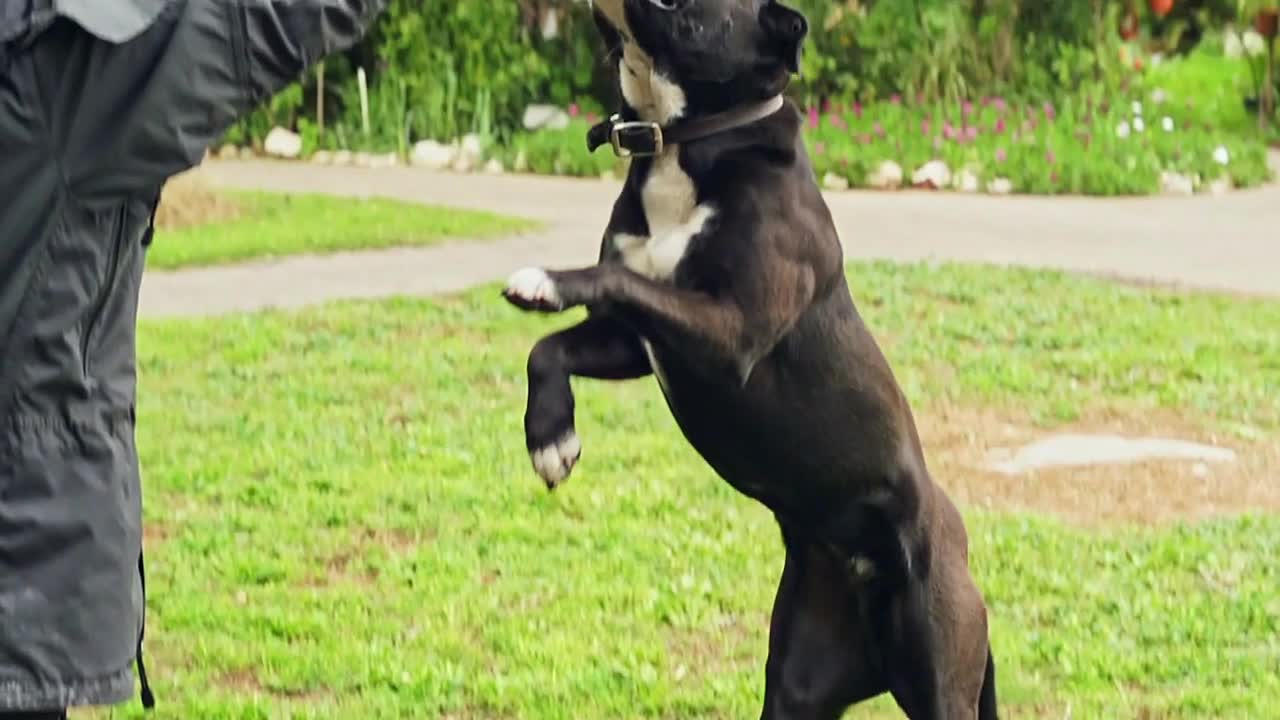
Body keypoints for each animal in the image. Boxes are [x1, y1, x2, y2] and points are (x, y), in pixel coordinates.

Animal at [501, 2, 998, 712]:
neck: (683, 141)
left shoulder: (729, 332)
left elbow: (614, 280)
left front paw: (546, 281)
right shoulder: (636, 342)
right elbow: (550, 349)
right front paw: (550, 438)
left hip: (938, 674)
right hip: (797, 686)